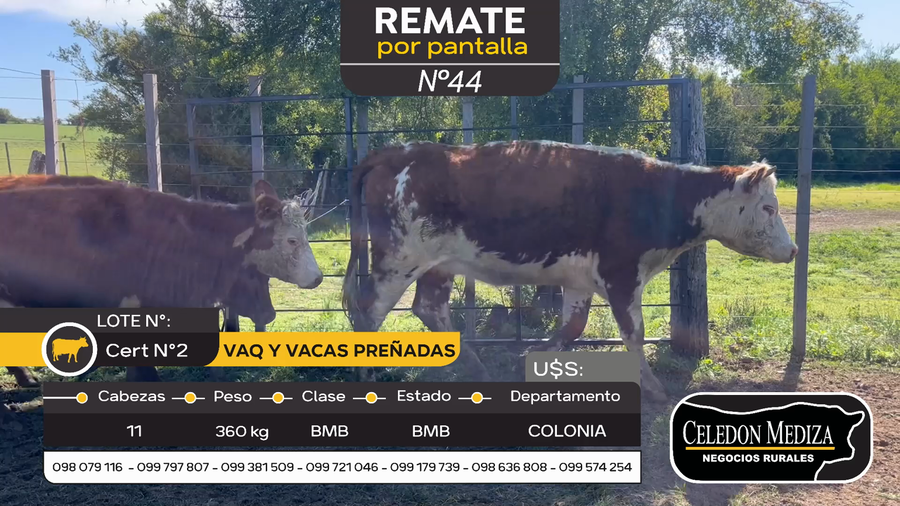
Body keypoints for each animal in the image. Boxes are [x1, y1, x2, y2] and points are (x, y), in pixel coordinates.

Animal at [342, 141, 798, 402]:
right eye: (768, 208)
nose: (793, 250)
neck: (657, 195)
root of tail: (400, 152)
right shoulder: (621, 274)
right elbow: (634, 334)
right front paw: (652, 388)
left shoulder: (580, 280)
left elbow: (573, 327)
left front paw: (537, 357)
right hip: (398, 259)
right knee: (369, 310)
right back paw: (367, 376)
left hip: (438, 265)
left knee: (429, 308)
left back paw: (477, 371)